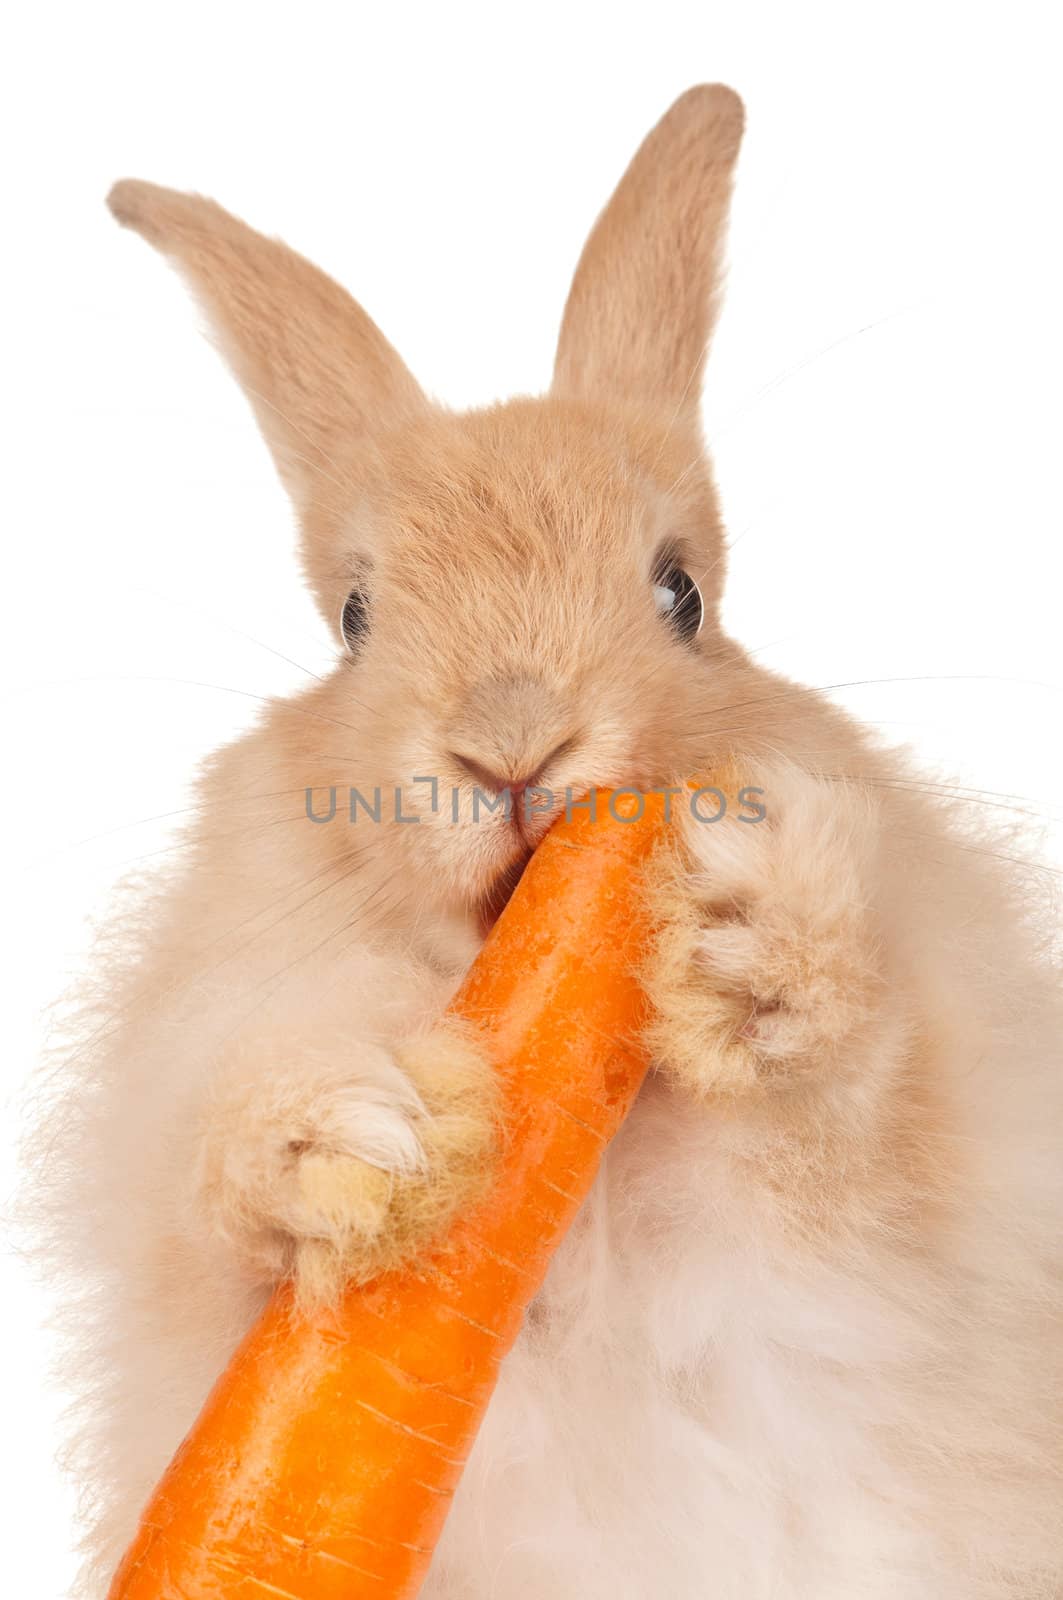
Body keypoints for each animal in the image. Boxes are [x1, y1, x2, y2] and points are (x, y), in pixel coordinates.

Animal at [33, 84, 1063, 1600]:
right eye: (354, 618)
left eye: (680, 592)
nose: (511, 744)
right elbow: (232, 1212)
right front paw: (350, 1127)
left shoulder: (899, 1225)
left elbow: (844, 1129)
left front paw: (745, 938)